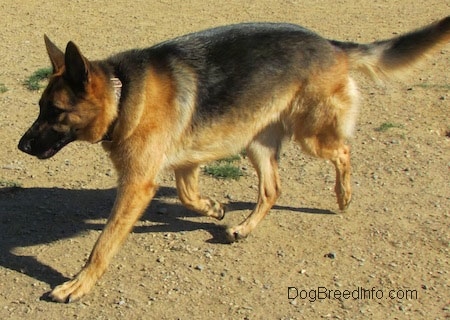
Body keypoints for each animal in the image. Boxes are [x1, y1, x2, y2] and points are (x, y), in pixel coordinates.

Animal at [18, 16, 450, 302]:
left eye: (55, 112)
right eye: (39, 107)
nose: (21, 146)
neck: (123, 94)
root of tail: (331, 44)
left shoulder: (138, 184)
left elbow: (103, 243)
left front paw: (78, 284)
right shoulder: (185, 163)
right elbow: (188, 195)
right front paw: (213, 207)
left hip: (311, 136)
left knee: (342, 151)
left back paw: (343, 196)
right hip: (256, 142)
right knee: (273, 189)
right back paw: (243, 227)